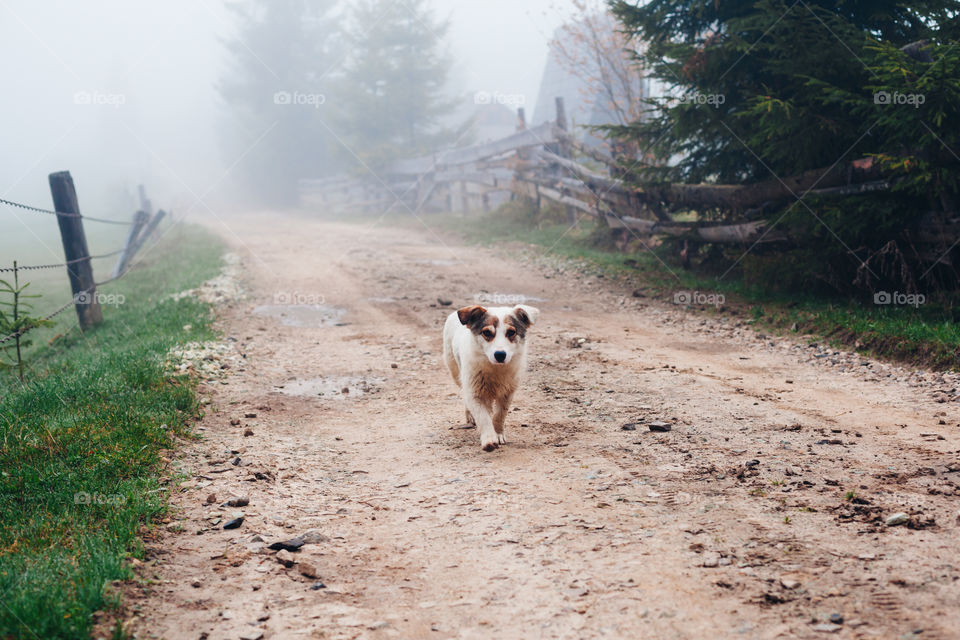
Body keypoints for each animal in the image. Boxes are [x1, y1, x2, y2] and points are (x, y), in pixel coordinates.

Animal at [442, 304, 540, 450]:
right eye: (487, 333)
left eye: (511, 332)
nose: (500, 355)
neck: (495, 368)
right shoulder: (475, 392)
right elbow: (483, 417)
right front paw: (489, 438)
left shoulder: (507, 393)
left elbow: (500, 415)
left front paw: (498, 434)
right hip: (455, 371)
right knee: (465, 395)